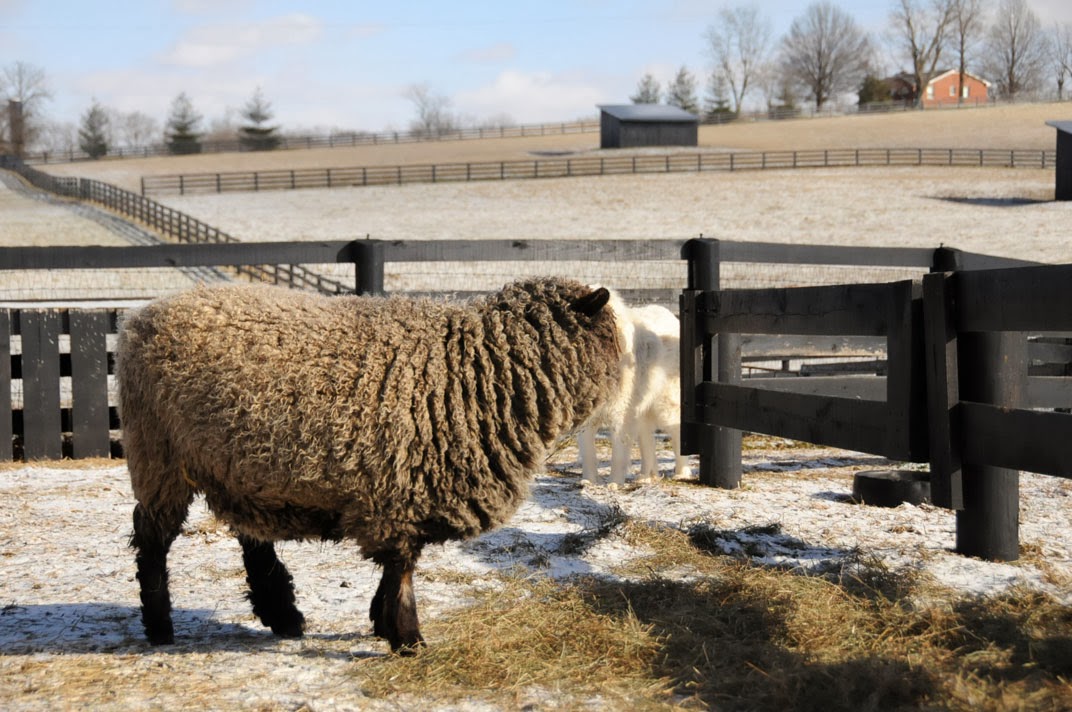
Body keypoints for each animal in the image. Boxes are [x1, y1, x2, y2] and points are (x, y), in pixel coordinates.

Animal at [116, 277, 620, 654]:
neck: (476, 371)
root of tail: (139, 318)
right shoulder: (398, 488)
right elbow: (402, 568)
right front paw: (407, 638)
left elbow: (396, 569)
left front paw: (384, 623)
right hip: (158, 454)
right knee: (153, 540)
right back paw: (160, 626)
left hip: (240, 462)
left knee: (251, 535)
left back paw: (282, 614)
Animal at [577, 293, 690, 486]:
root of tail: (671, 317)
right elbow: (588, 450)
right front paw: (589, 481)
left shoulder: (621, 415)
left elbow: (618, 452)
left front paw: (614, 483)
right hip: (642, 411)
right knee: (648, 441)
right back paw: (646, 476)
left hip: (666, 407)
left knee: (677, 434)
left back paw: (682, 473)